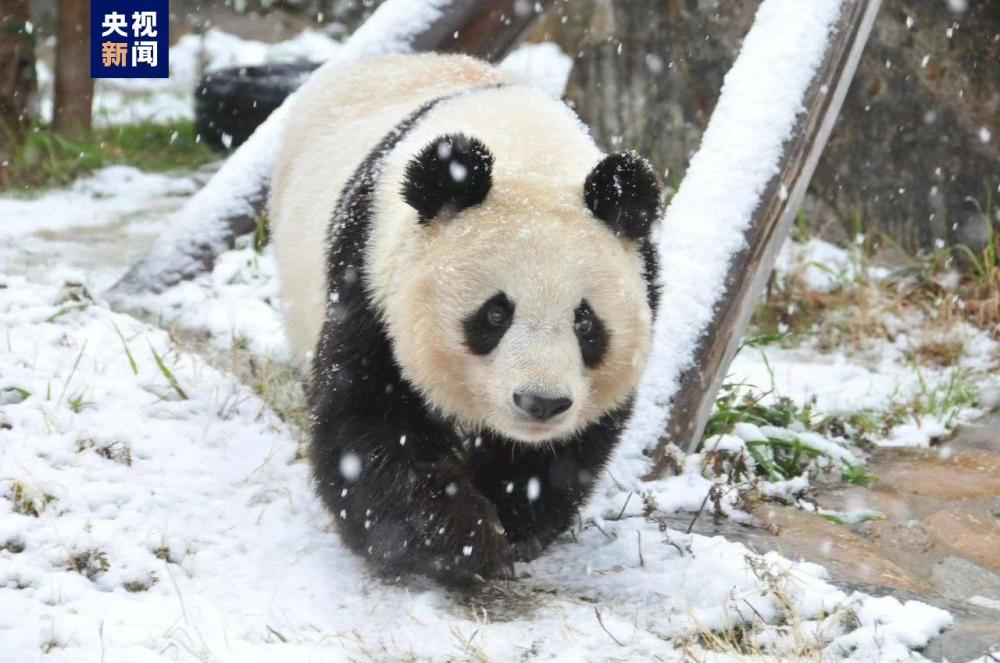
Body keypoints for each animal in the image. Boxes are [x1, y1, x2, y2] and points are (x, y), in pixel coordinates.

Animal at [270, 53, 661, 584]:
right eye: (495, 314)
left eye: (585, 323)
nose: (541, 403)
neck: (527, 151)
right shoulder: (369, 281)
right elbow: (368, 422)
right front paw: (465, 539)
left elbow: (563, 451)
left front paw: (512, 524)